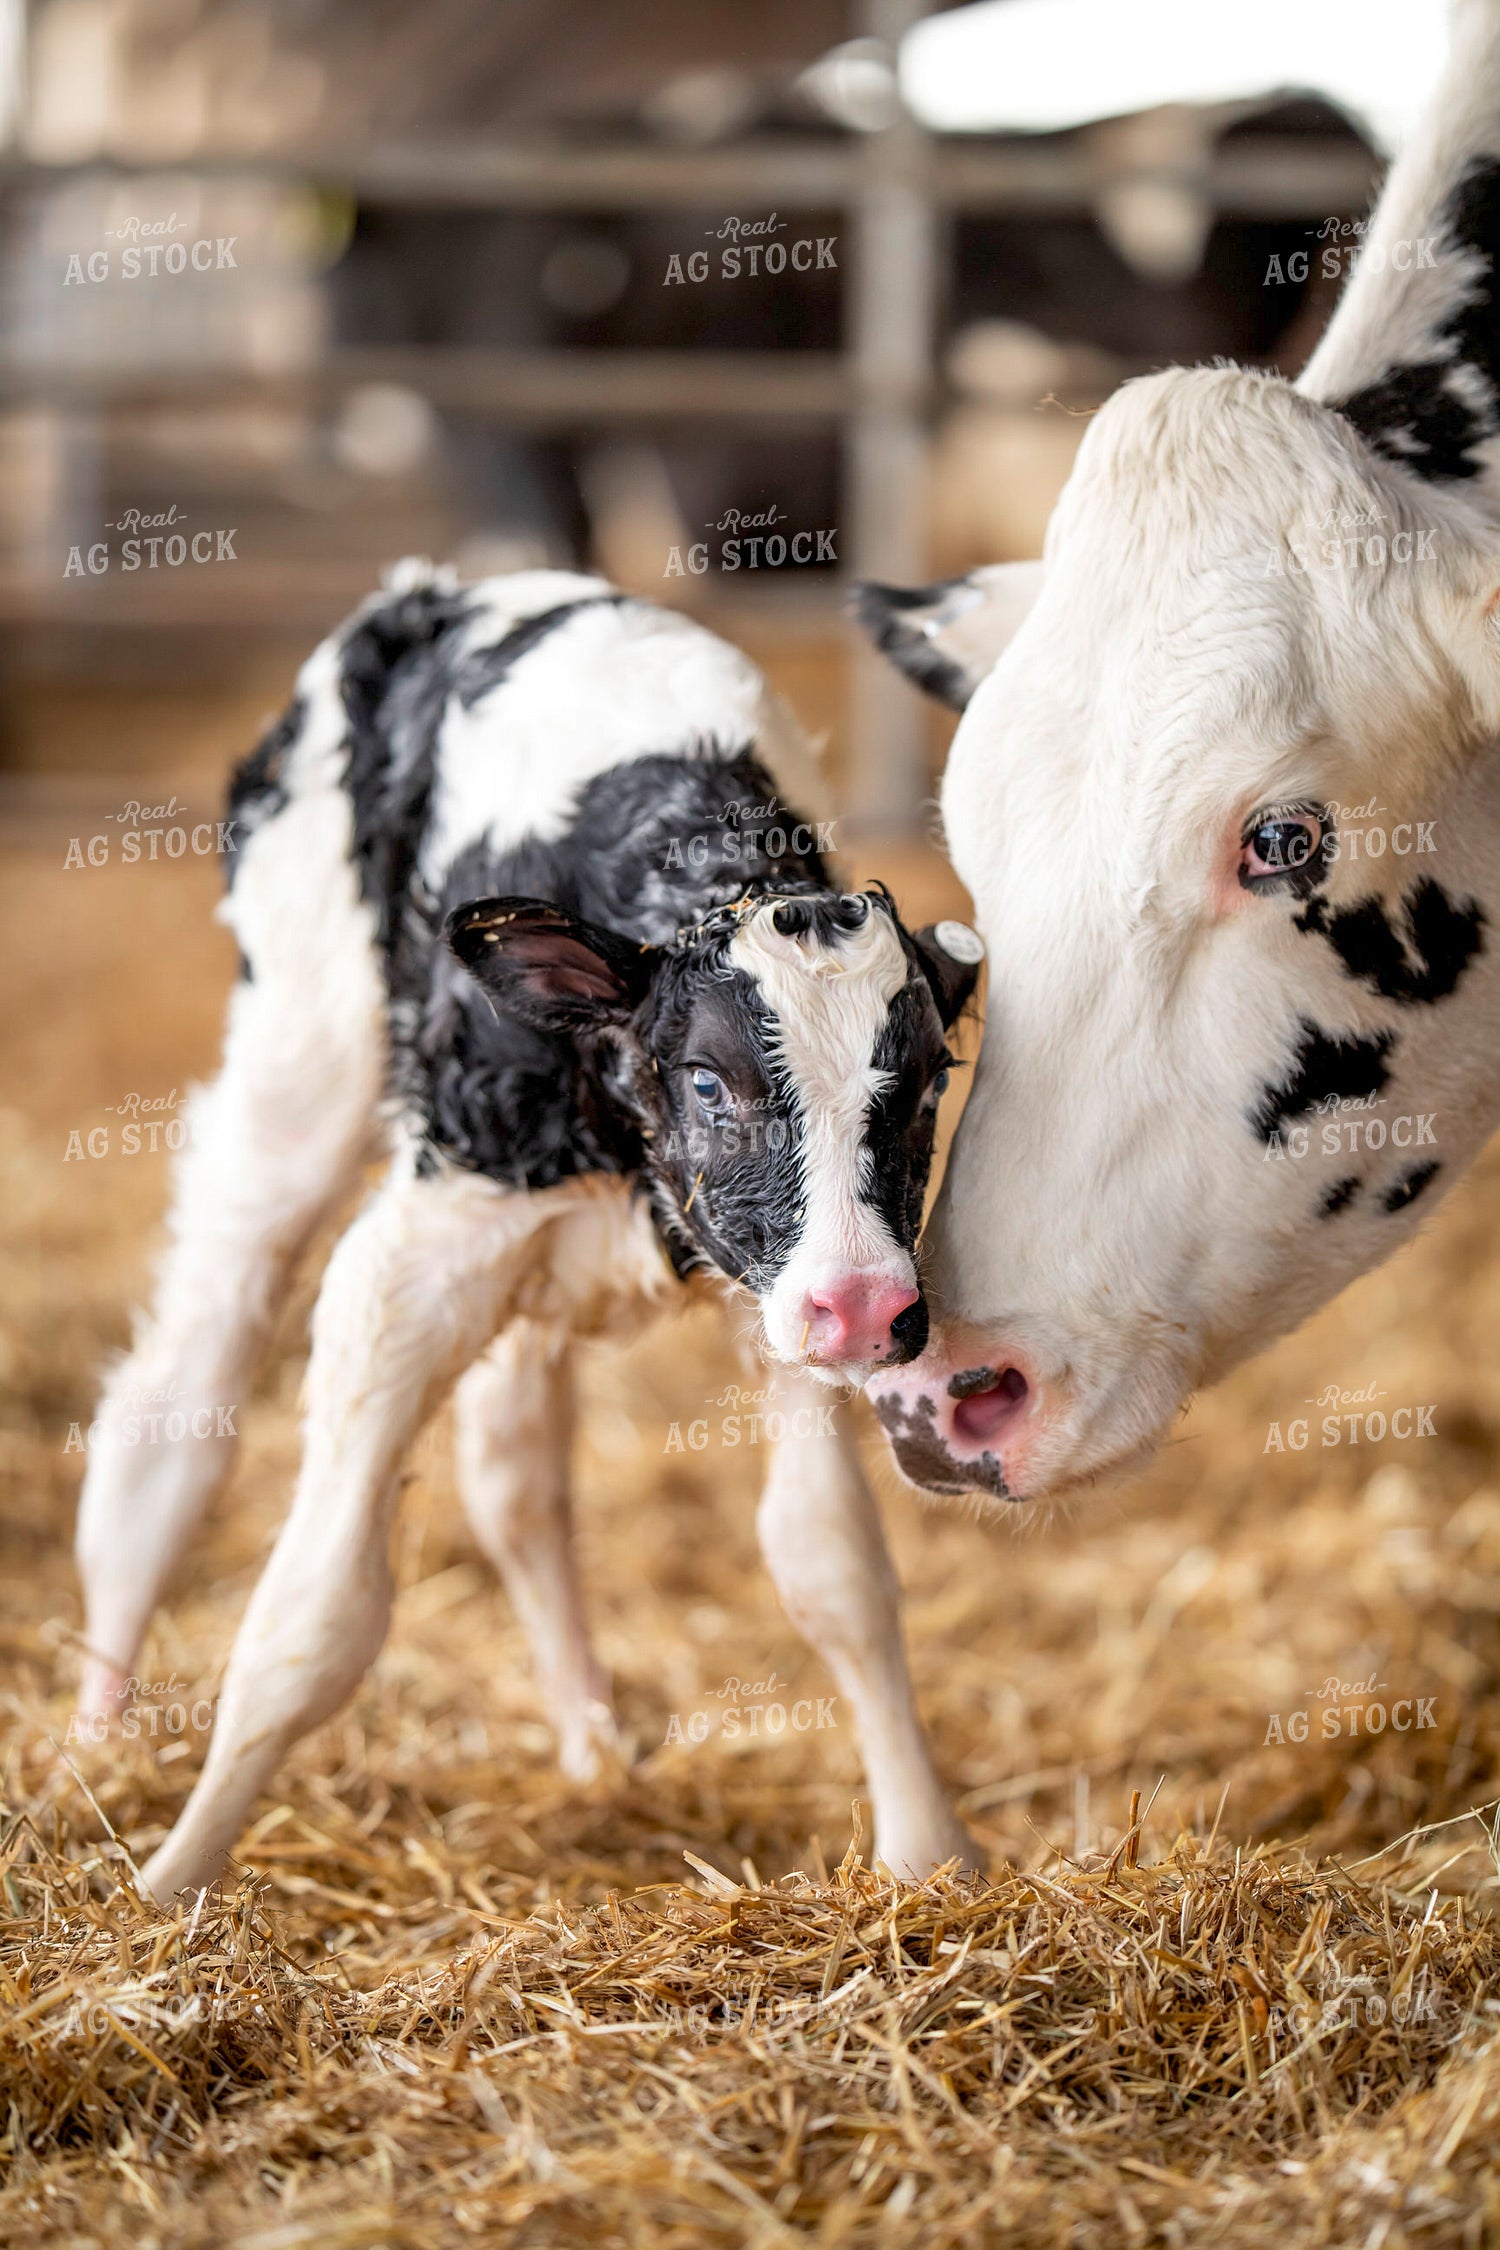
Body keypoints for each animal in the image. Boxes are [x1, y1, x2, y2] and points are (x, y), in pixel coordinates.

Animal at [75, 567, 985, 1899]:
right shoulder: (409, 1267)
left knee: (512, 1469)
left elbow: (834, 1570)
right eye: (708, 1081)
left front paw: (927, 1853)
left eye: (924, 1085)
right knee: (172, 1411)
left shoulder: (772, 1291)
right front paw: (175, 1881)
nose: (870, 1303)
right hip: (296, 1071)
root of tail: (438, 589)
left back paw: (593, 1746)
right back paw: (95, 1740)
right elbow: (314, 1620)